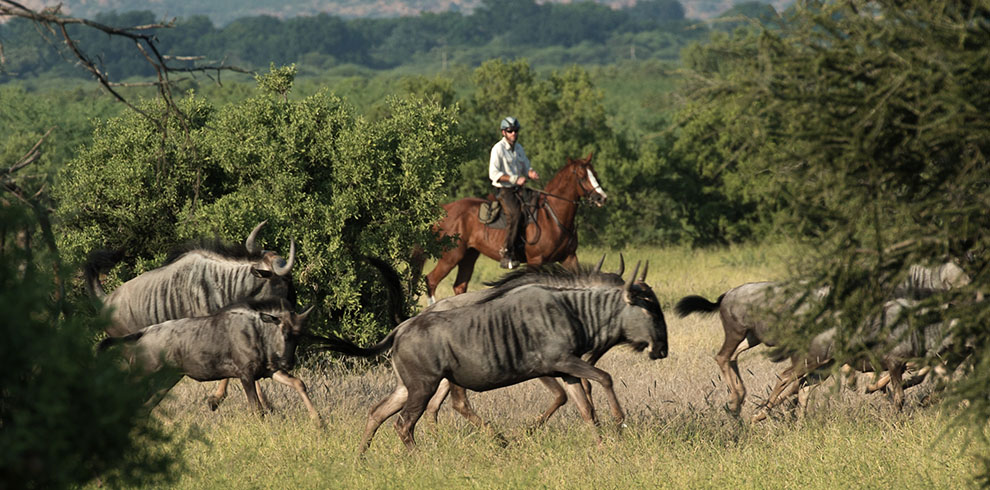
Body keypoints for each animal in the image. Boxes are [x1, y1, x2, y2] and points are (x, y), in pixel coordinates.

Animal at [99, 298, 320, 422]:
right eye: (283, 331)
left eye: (299, 335)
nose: (288, 363)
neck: (259, 333)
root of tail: (142, 333)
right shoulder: (245, 375)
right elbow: (257, 410)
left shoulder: (268, 371)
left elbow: (298, 383)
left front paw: (318, 421)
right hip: (141, 375)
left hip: (168, 380)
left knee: (145, 408)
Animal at [424, 153, 608, 302]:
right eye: (582, 176)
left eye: (595, 174)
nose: (602, 198)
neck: (553, 217)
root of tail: (446, 209)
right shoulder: (535, 260)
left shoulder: (569, 257)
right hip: (451, 256)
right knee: (431, 281)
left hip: (469, 255)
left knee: (459, 286)